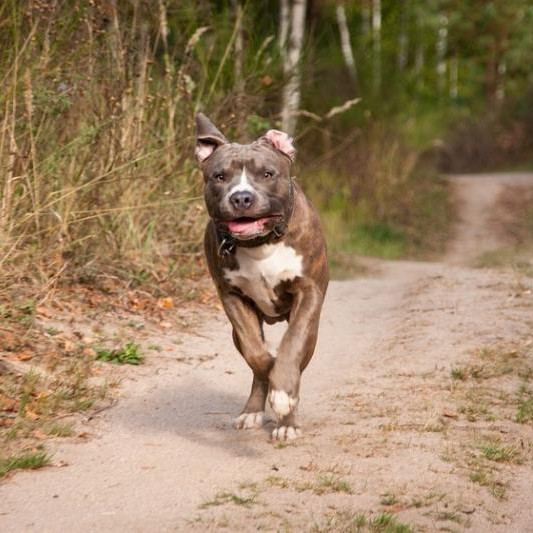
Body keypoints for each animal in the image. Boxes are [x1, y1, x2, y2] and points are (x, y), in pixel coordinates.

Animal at [195, 113, 328, 440]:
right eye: (220, 176)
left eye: (267, 174)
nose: (242, 197)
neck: (260, 244)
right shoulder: (232, 297)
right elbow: (257, 354)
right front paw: (271, 374)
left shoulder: (308, 293)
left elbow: (291, 347)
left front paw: (284, 396)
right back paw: (253, 410)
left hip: (313, 329)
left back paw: (287, 420)